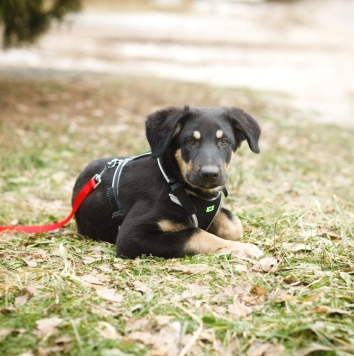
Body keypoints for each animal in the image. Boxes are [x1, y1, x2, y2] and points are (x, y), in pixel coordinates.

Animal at [72, 105, 262, 258]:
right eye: (190, 141)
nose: (210, 174)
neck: (176, 184)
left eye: (224, 141)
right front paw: (242, 248)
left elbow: (234, 225)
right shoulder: (131, 236)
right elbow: (196, 234)